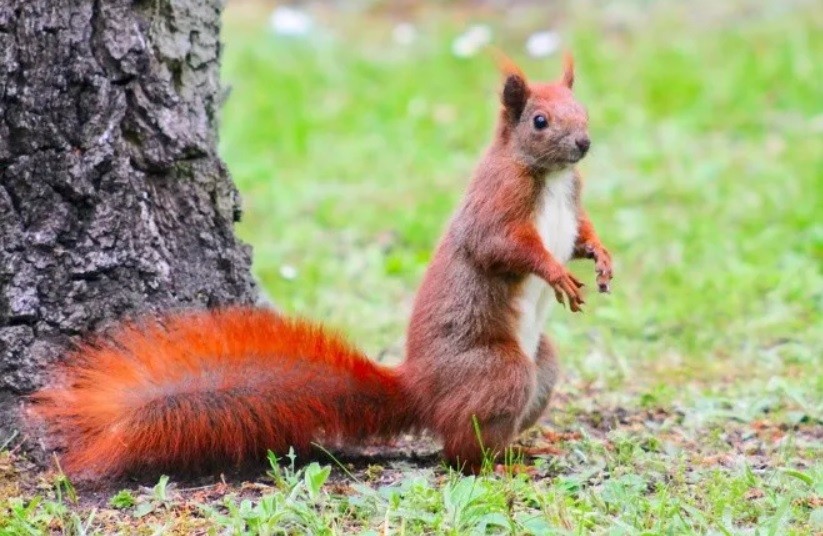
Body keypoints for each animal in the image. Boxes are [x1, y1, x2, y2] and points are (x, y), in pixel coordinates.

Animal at [30, 53, 613, 480]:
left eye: (583, 109)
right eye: (539, 121)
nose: (585, 143)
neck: (550, 177)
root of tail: (419, 390)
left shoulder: (569, 206)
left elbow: (580, 234)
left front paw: (601, 258)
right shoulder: (495, 205)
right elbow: (502, 247)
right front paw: (556, 273)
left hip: (540, 366)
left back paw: (524, 450)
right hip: (498, 371)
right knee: (459, 452)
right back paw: (503, 463)